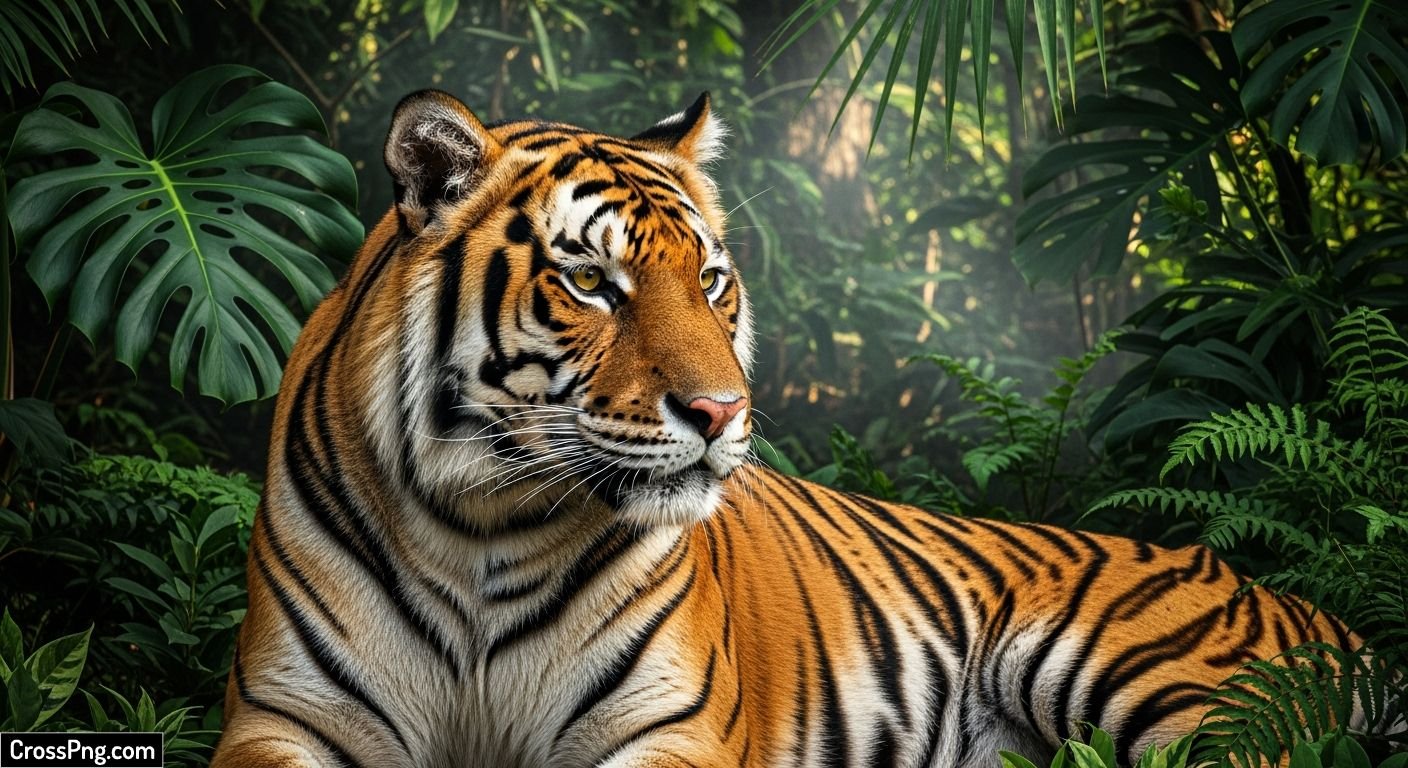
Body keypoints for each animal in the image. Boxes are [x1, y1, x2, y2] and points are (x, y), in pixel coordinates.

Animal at [212, 90, 1369, 768]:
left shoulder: (665, 732)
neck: (481, 526)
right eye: (590, 282)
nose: (722, 412)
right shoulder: (286, 718)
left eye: (713, 281)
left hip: (1167, 685)